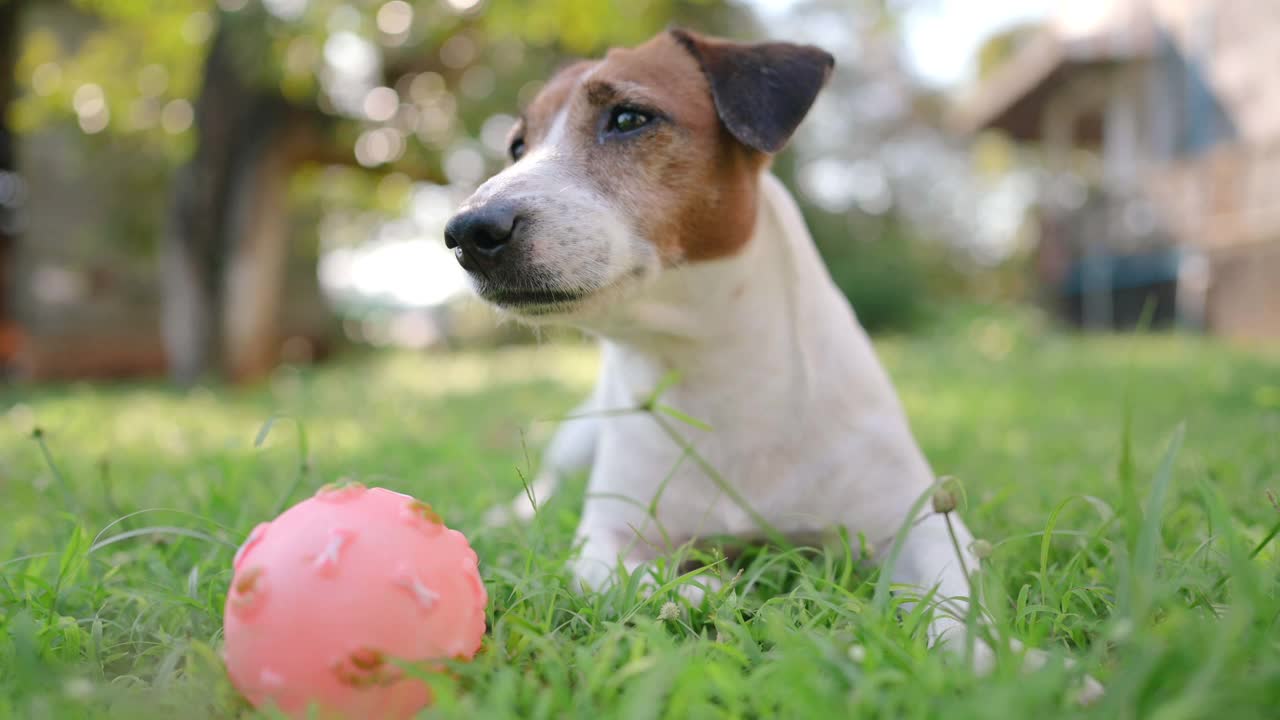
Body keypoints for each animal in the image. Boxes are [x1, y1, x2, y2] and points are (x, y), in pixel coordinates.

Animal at [442, 28, 1100, 696]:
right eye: (517, 146)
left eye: (629, 118)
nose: (467, 232)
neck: (713, 367)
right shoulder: (605, 535)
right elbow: (635, 572)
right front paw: (700, 588)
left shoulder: (916, 520)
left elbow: (956, 603)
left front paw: (1013, 667)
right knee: (548, 485)